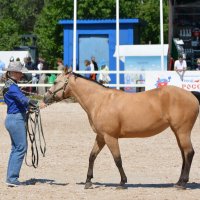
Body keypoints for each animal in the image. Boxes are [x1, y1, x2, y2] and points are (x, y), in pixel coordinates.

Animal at [43, 70, 200, 189]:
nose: (45, 98)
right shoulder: (101, 137)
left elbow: (117, 159)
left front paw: (122, 182)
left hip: (182, 131)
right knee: (184, 154)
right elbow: (92, 156)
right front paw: (88, 181)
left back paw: (183, 183)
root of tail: (191, 94)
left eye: (55, 82)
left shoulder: (110, 137)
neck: (100, 101)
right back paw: (178, 182)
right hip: (177, 132)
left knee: (189, 153)